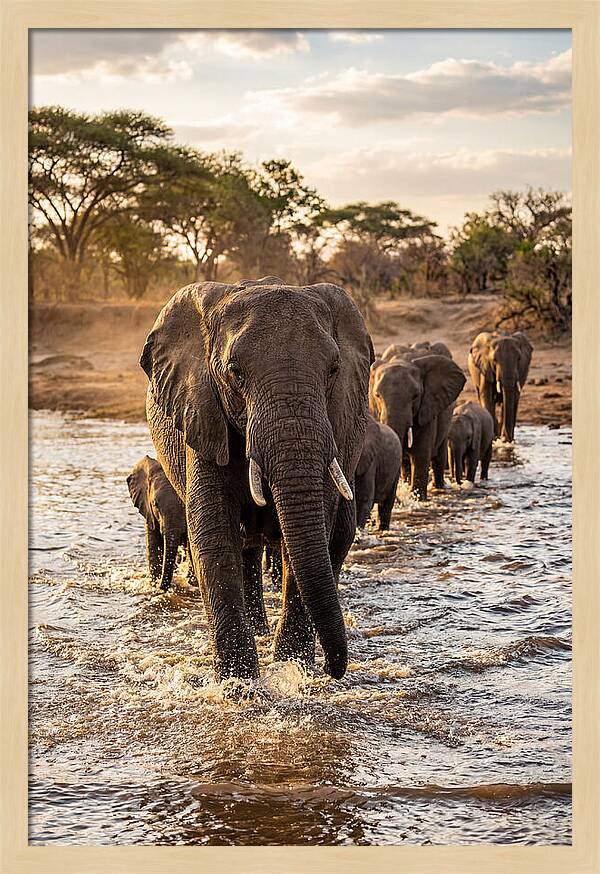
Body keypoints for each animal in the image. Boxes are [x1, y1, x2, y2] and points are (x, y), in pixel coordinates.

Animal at [127, 455, 195, 591]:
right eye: (155, 504)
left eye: (185, 505)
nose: (161, 587)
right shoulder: (148, 512)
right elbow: (154, 547)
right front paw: (154, 584)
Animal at [140, 277, 372, 682]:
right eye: (235, 372)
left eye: (333, 370)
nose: (334, 669)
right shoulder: (202, 411)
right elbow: (214, 533)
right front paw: (239, 684)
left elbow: (311, 532)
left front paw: (294, 670)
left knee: (334, 538)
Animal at [369, 342, 466, 500]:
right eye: (377, 395)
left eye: (415, 396)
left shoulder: (427, 407)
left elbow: (420, 457)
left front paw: (418, 499)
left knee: (439, 454)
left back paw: (439, 488)